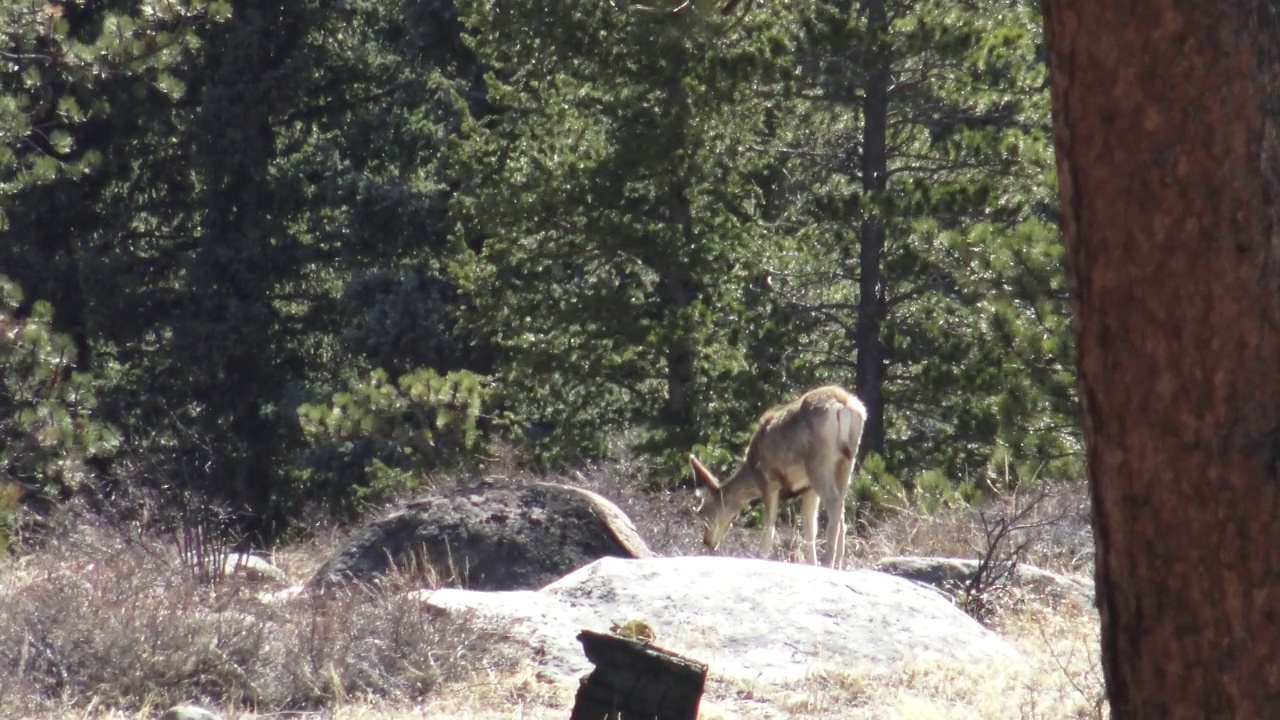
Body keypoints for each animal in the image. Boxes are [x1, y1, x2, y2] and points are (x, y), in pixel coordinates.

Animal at [691, 384, 870, 563]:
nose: (707, 542)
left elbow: (768, 529)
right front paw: (812, 563)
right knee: (842, 512)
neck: (752, 474)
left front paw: (762, 557)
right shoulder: (808, 489)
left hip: (819, 462)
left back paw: (828, 560)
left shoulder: (769, 482)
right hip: (846, 462)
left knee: (835, 505)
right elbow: (809, 530)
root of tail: (844, 404)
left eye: (704, 511)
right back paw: (837, 561)